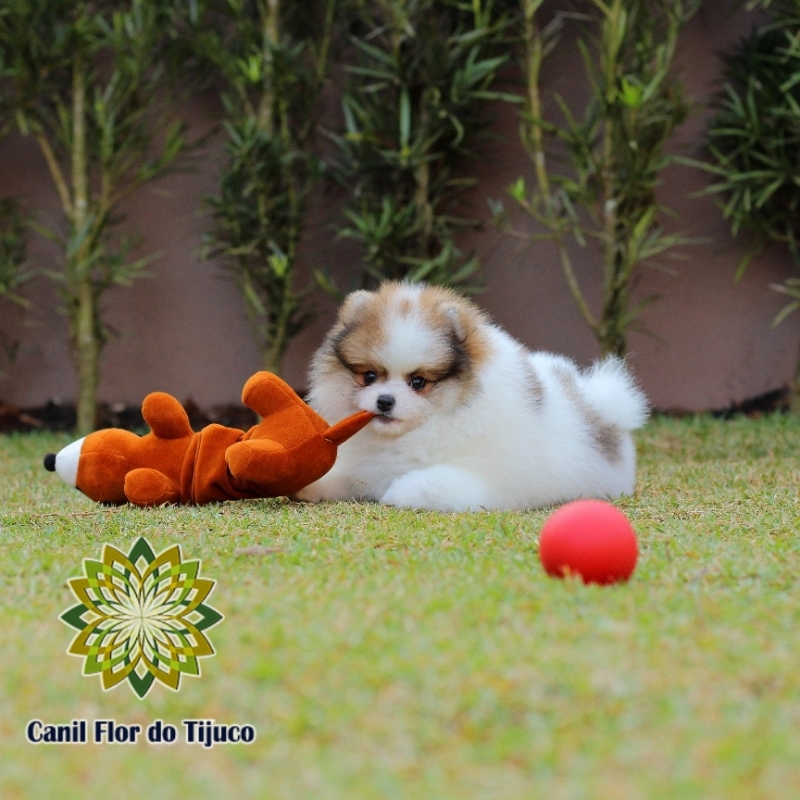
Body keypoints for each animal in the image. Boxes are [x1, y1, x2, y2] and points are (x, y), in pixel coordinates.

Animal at [296, 282, 648, 512]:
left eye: (418, 382)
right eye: (369, 376)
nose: (384, 401)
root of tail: (602, 407)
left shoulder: (484, 482)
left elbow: (425, 484)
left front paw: (395, 491)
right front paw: (309, 484)